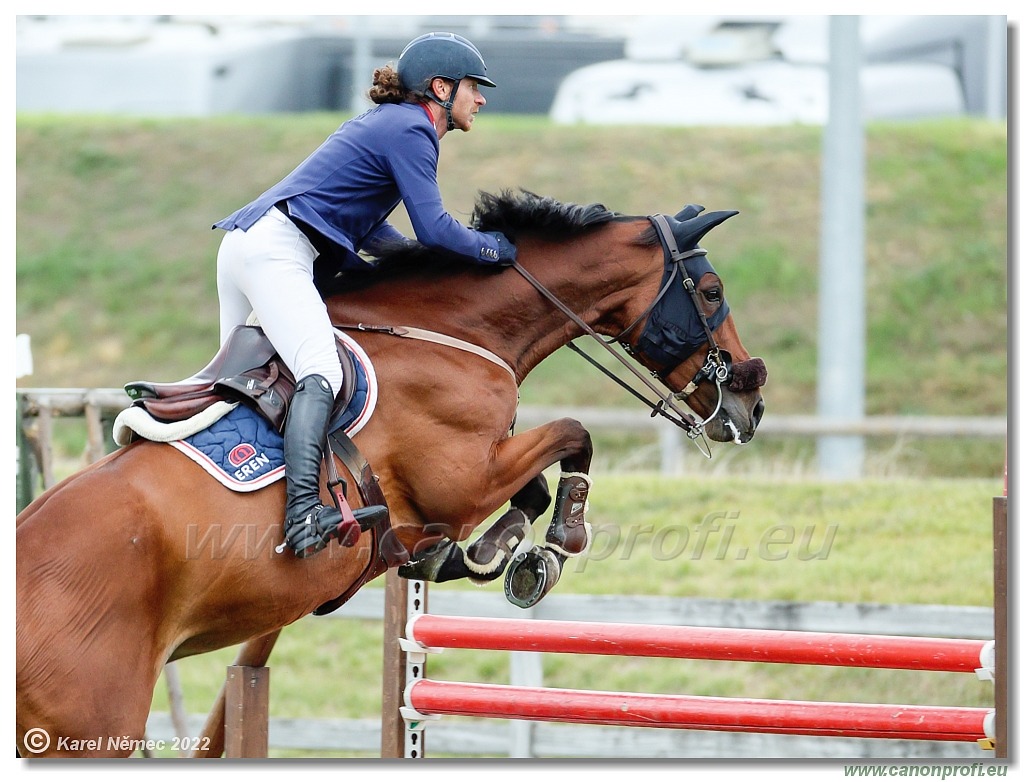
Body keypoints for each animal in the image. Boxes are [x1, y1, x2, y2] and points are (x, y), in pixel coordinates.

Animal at [16, 189, 765, 757]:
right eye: (711, 290)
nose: (750, 405)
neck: (452, 331)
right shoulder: (461, 480)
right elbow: (572, 439)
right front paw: (552, 545)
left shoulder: (470, 479)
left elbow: (529, 483)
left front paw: (482, 553)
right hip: (93, 726)